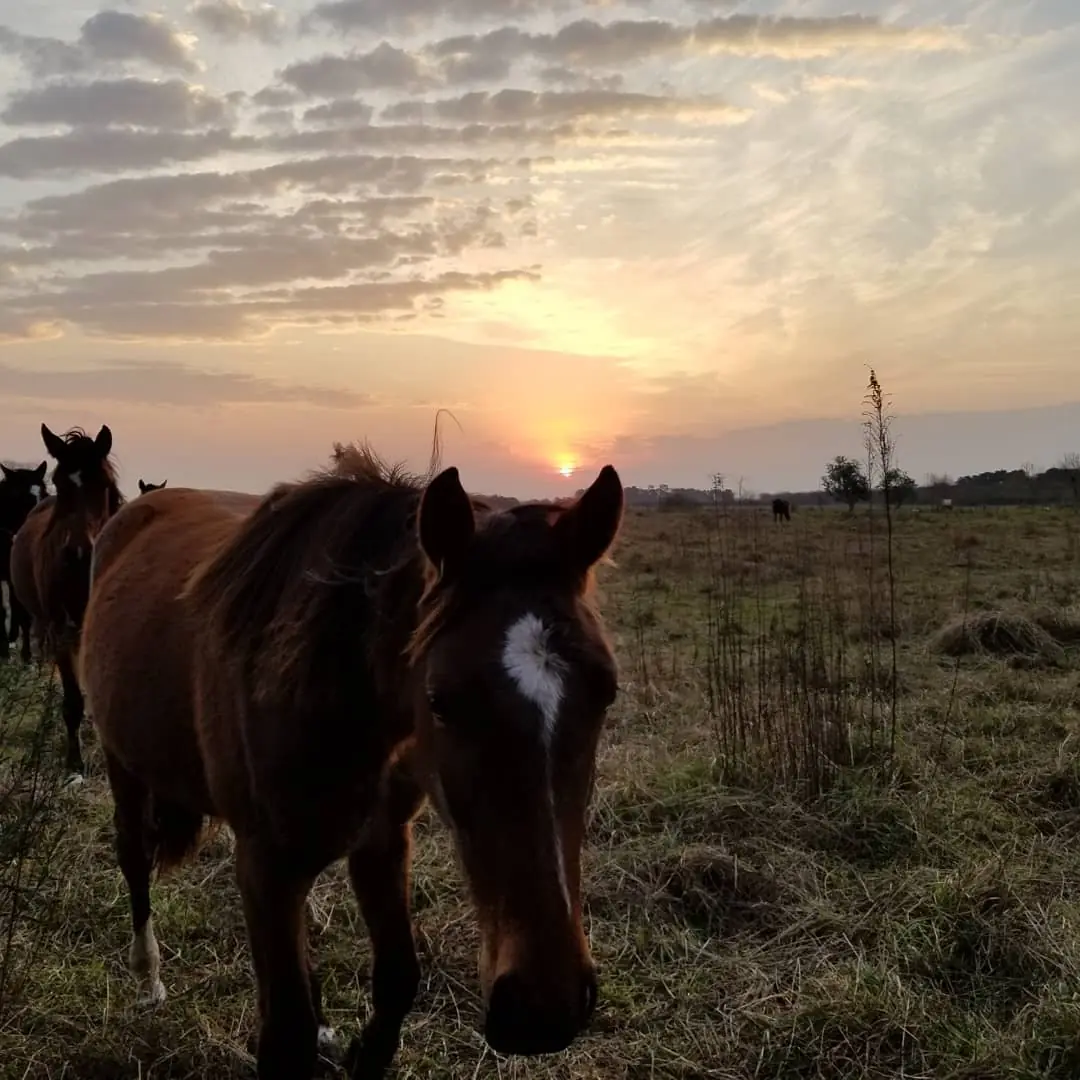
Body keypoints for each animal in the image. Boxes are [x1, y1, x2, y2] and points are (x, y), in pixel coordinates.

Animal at [9, 425, 122, 776]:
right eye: (59, 483)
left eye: (103, 483)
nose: (79, 553)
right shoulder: (60, 629)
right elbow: (72, 700)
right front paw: (75, 764)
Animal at [78, 446, 624, 1080]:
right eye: (439, 699)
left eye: (607, 690)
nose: (544, 1007)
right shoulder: (265, 868)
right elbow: (286, 1033)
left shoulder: (382, 841)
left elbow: (396, 982)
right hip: (122, 762)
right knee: (133, 856)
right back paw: (149, 977)